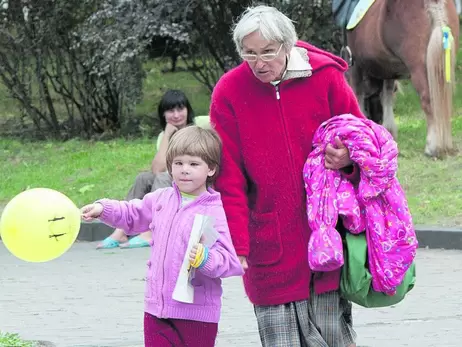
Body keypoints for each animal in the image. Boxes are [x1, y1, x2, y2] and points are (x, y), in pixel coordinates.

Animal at [346, 0, 458, 158]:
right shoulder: (388, 70)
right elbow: (387, 96)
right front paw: (389, 131)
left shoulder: (356, 65)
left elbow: (359, 96)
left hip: (419, 68)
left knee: (428, 101)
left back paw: (432, 147)